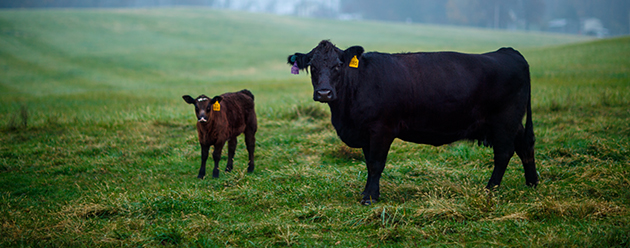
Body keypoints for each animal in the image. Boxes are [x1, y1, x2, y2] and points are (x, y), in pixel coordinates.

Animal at [288, 39, 540, 205]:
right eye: (312, 67)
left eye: (338, 65)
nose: (324, 93)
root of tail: (508, 52)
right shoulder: (366, 133)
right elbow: (369, 164)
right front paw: (369, 193)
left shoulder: (381, 129)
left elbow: (376, 164)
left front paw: (369, 198)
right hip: (512, 122)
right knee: (525, 145)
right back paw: (532, 183)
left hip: (505, 120)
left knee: (504, 153)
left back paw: (490, 189)